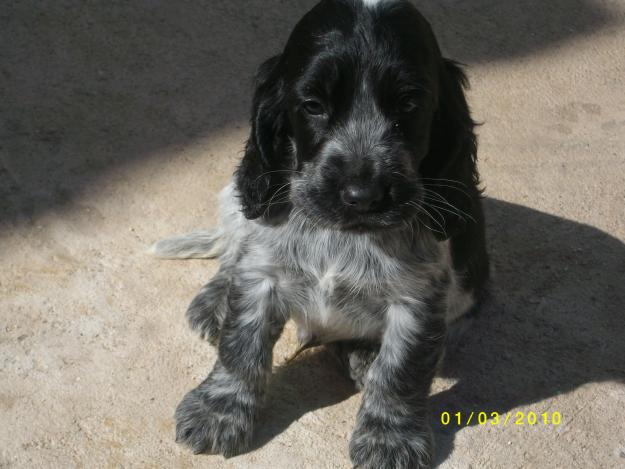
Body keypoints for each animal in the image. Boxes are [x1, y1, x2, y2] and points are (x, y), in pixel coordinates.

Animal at [151, 1, 488, 466]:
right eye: (312, 105)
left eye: (409, 104)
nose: (362, 195)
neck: (340, 234)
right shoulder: (261, 272)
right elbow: (241, 343)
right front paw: (218, 410)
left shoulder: (418, 298)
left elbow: (401, 371)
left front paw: (390, 438)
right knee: (230, 255)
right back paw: (214, 300)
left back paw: (364, 354)